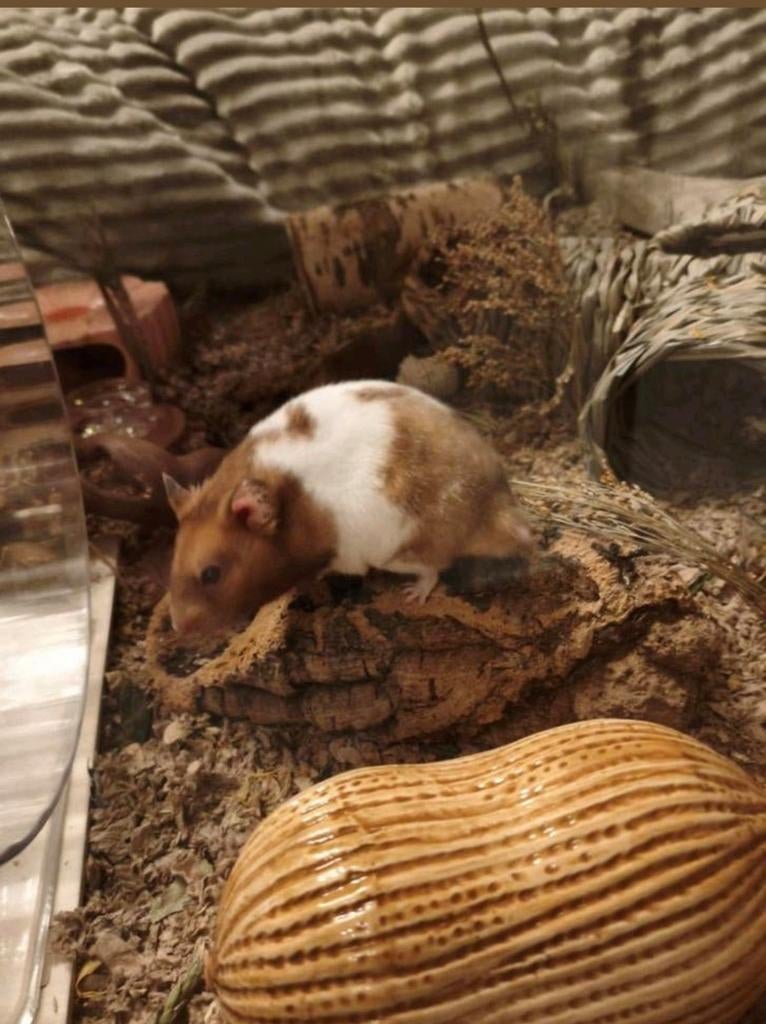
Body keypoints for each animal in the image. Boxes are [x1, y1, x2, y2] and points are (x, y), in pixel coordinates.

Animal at [164, 380, 534, 635]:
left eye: (211, 574)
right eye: (173, 563)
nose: (178, 628)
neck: (294, 508)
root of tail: (496, 506)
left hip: (397, 548)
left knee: (434, 568)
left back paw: (411, 595)